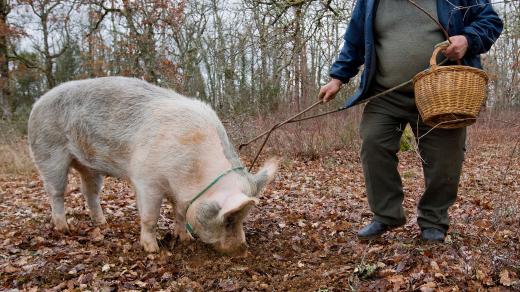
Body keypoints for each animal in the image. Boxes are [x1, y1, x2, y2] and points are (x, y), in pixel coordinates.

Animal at [27, 76, 280, 254]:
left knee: (89, 192)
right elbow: (150, 216)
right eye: (228, 219)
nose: (242, 250)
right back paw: (64, 229)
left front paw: (184, 240)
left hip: (89, 167)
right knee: (56, 192)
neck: (193, 173)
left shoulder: (179, 194)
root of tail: (38, 102)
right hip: (48, 153)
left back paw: (103, 222)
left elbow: (180, 214)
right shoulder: (146, 180)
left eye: (243, 218)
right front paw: (153, 249)